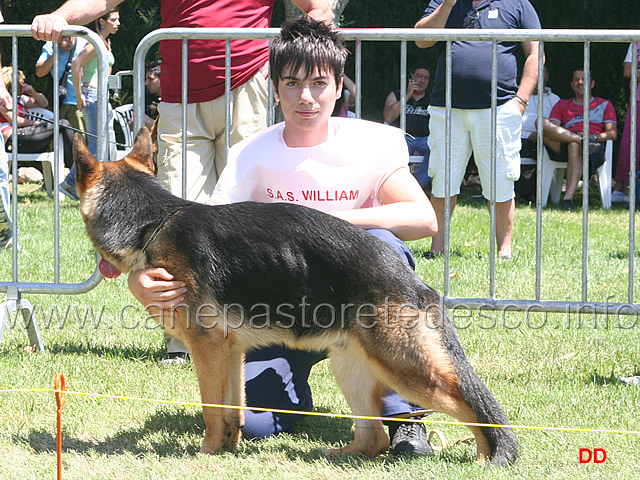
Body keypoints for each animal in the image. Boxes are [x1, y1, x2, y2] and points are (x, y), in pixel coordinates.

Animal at [72, 127, 516, 464]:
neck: (154, 221)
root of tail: (415, 282)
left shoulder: (207, 349)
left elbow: (212, 409)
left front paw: (206, 451)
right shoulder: (230, 352)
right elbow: (234, 407)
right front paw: (228, 449)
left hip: (404, 368)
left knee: (471, 405)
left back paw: (487, 457)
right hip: (349, 365)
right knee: (373, 438)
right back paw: (338, 456)